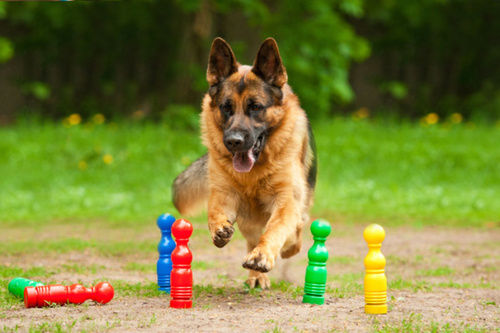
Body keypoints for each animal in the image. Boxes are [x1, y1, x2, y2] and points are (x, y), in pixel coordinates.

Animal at [173, 37, 316, 288]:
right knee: (252, 238)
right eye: (226, 107)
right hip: (249, 222)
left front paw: (263, 256)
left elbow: (276, 229)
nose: (233, 141)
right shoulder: (224, 194)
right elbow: (214, 212)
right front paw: (219, 228)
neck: (255, 172)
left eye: (256, 107)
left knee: (293, 232)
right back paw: (257, 277)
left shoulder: (286, 201)